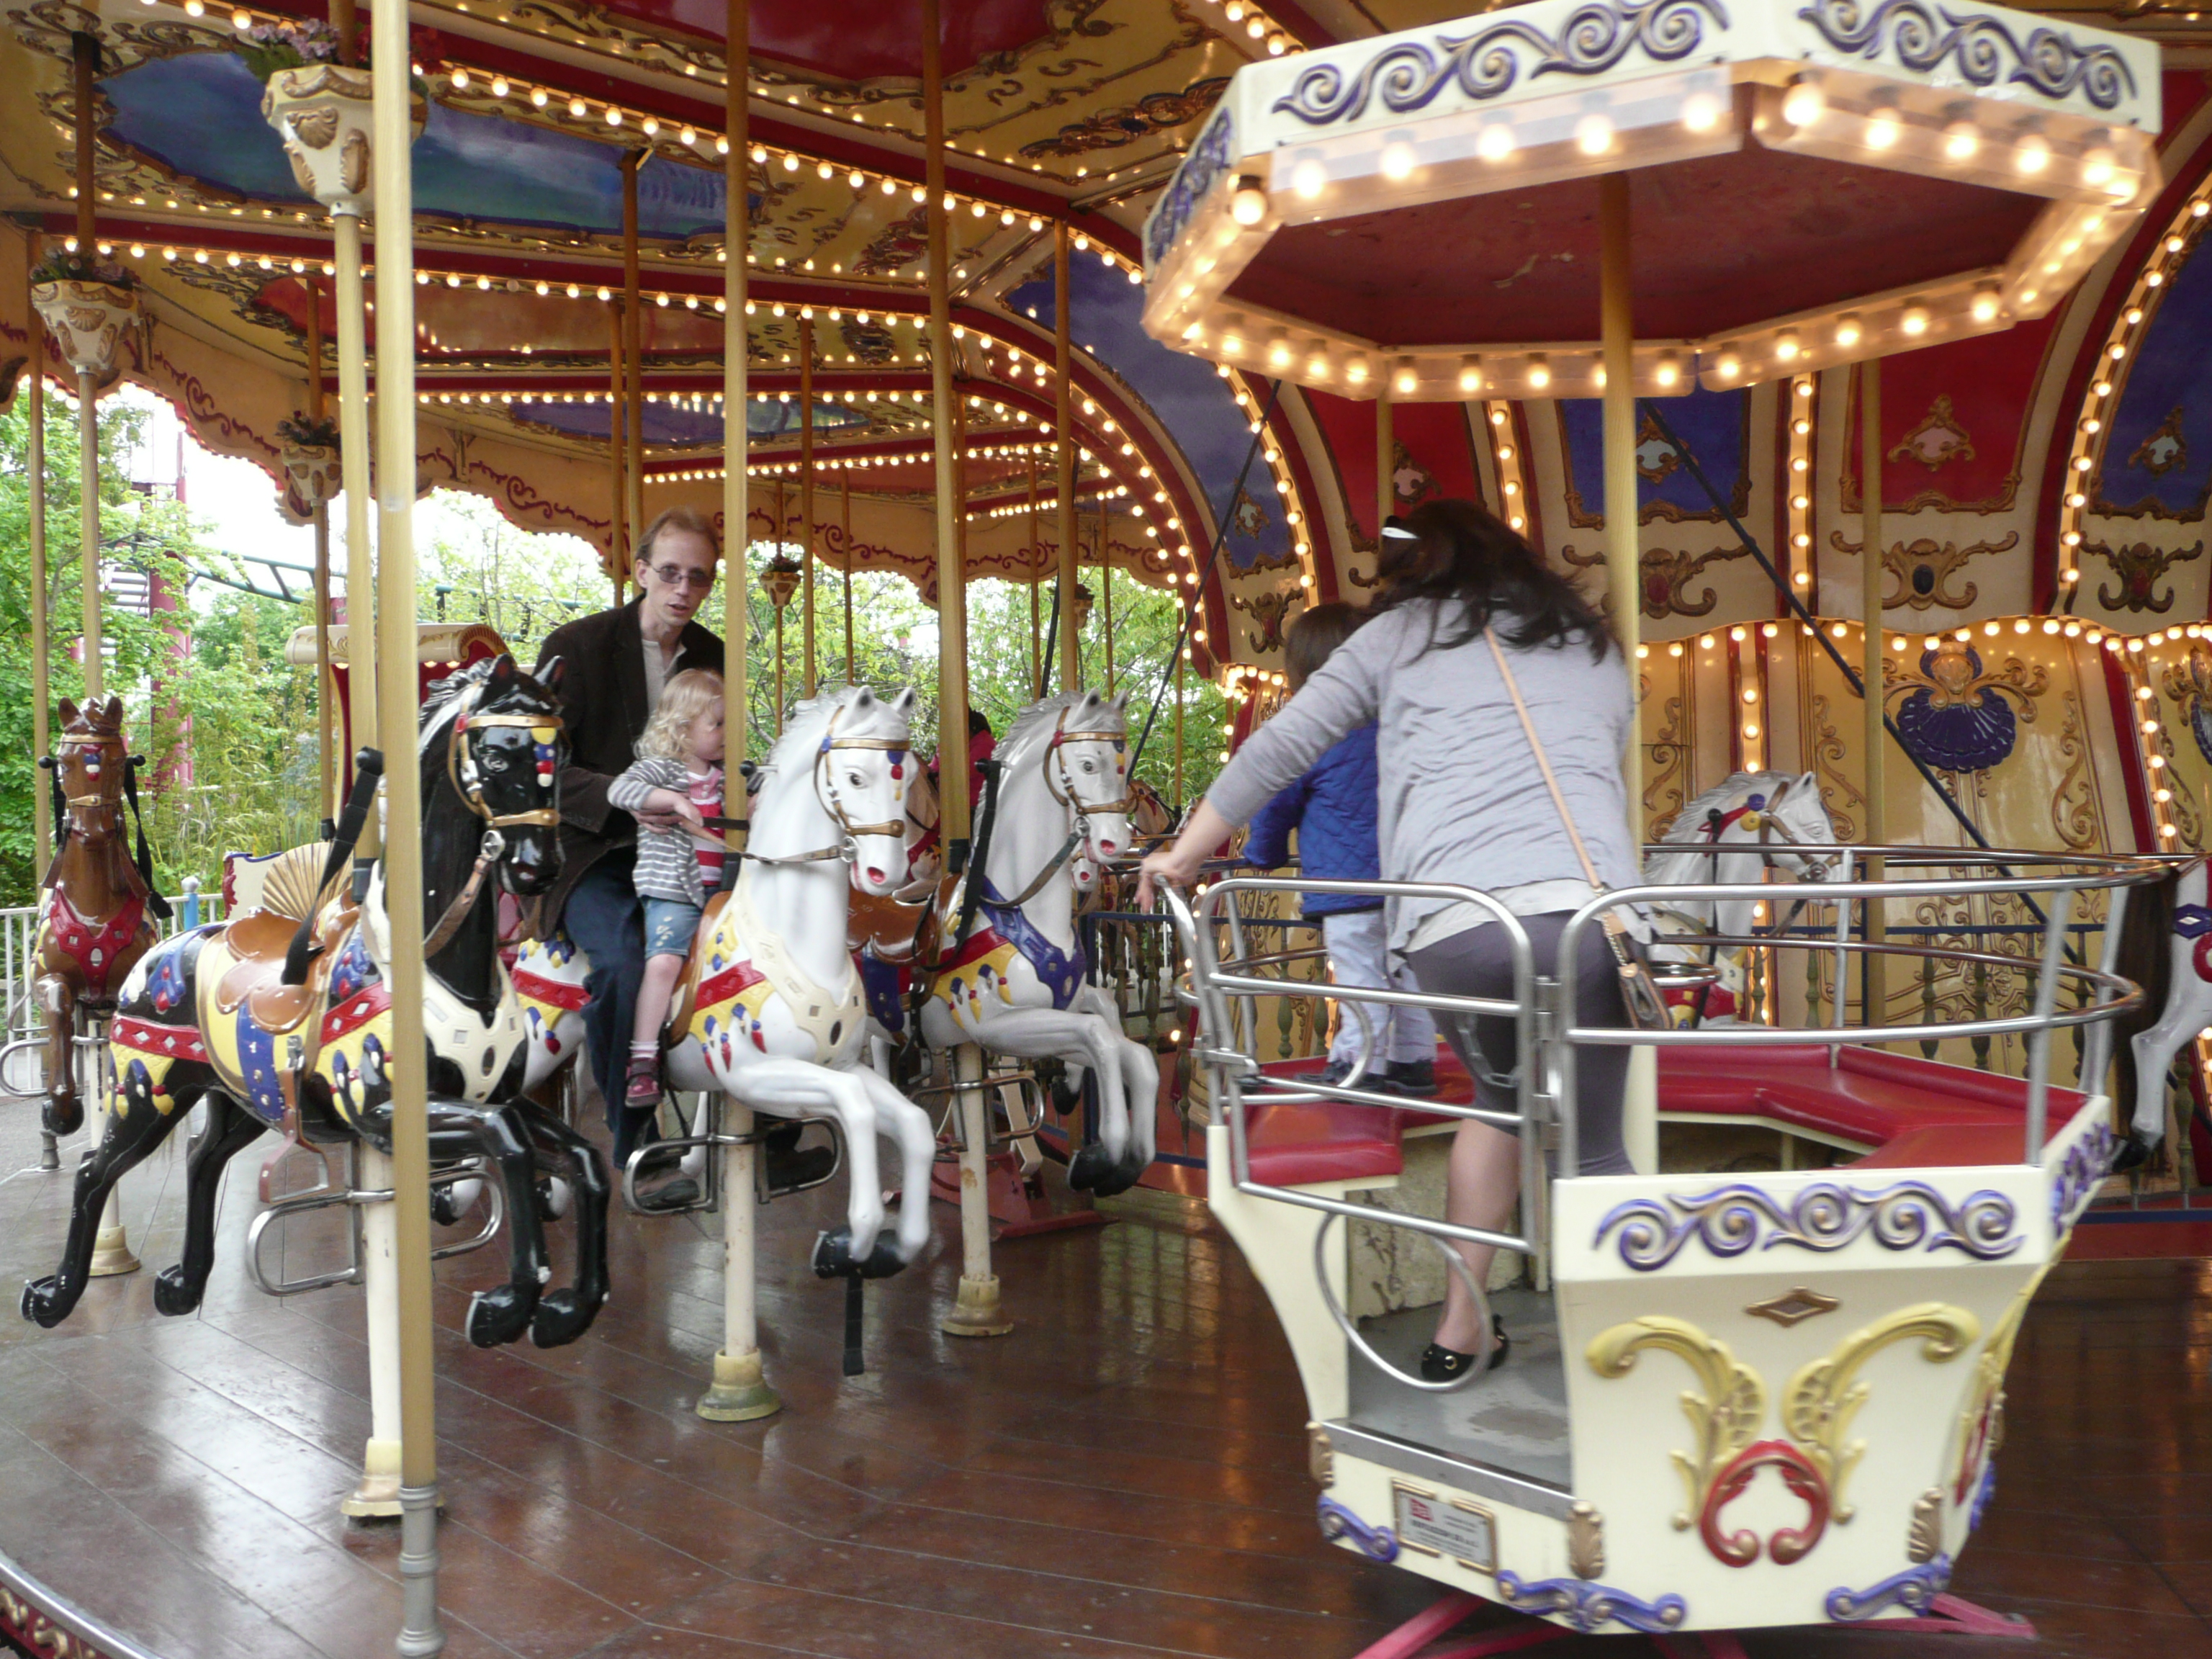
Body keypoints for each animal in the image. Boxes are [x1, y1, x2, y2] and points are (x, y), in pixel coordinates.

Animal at [31, 697, 165, 1138]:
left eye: (118, 760)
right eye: (64, 762)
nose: (94, 830)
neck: (93, 907)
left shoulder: (131, 984)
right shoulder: (44, 977)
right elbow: (58, 1002)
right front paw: (60, 1110)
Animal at [659, 684, 940, 1279]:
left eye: (906, 777)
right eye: (855, 777)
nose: (884, 873)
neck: (796, 940)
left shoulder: (840, 1065)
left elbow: (912, 1124)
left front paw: (897, 1244)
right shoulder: (754, 1073)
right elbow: (855, 1107)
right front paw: (856, 1237)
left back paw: (691, 1161)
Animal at [918, 690, 1158, 1197]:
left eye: (1125, 763)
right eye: (1088, 764)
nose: (1115, 843)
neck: (1016, 908)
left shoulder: (1063, 999)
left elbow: (1118, 1032)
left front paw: (1071, 1094)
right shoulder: (993, 1024)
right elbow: (1100, 1038)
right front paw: (1099, 1158)